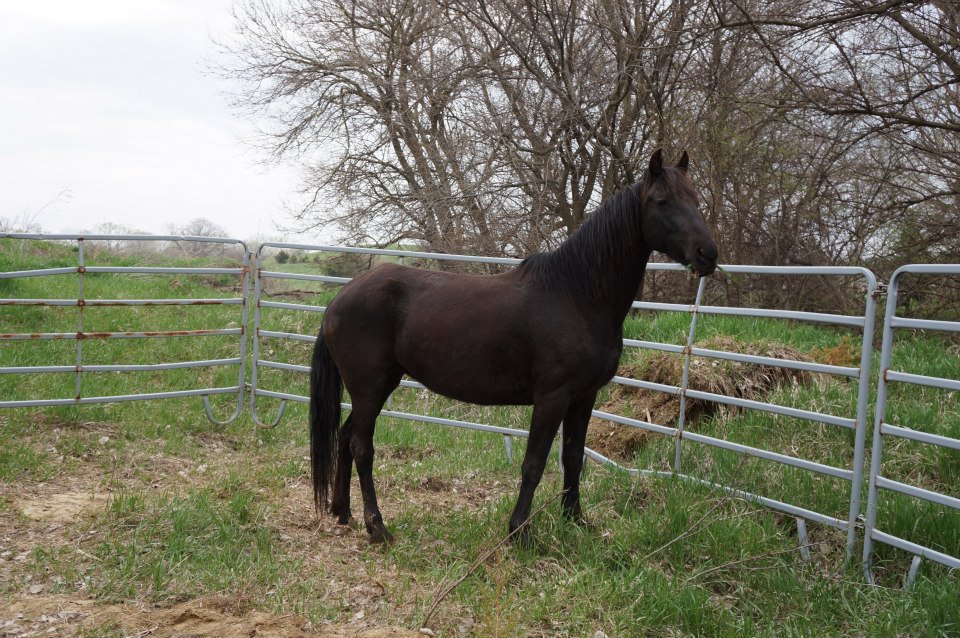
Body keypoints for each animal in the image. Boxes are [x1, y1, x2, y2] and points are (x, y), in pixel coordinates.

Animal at [312, 150, 716, 544]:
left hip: (380, 385)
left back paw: (343, 512)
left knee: (345, 437)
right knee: (361, 447)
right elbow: (534, 463)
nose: (708, 253)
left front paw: (575, 521)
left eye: (695, 198)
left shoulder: (584, 397)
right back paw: (377, 528)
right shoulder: (552, 397)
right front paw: (520, 531)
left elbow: (573, 458)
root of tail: (339, 299)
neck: (577, 294)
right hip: (369, 386)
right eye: (662, 201)